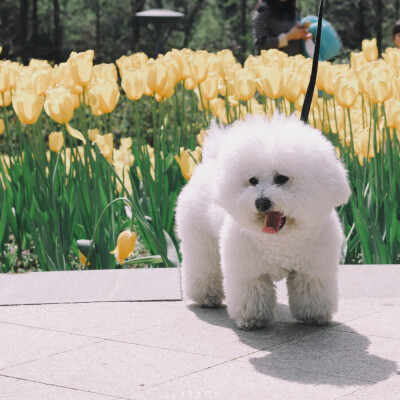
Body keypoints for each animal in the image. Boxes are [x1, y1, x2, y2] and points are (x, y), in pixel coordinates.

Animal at [175, 114, 350, 330]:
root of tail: (212, 159)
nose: (261, 202)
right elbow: (252, 292)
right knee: (203, 265)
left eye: (281, 178)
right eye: (252, 180)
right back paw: (206, 297)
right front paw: (253, 319)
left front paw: (314, 316)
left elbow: (311, 289)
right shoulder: (248, 269)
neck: (281, 240)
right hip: (199, 240)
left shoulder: (313, 268)